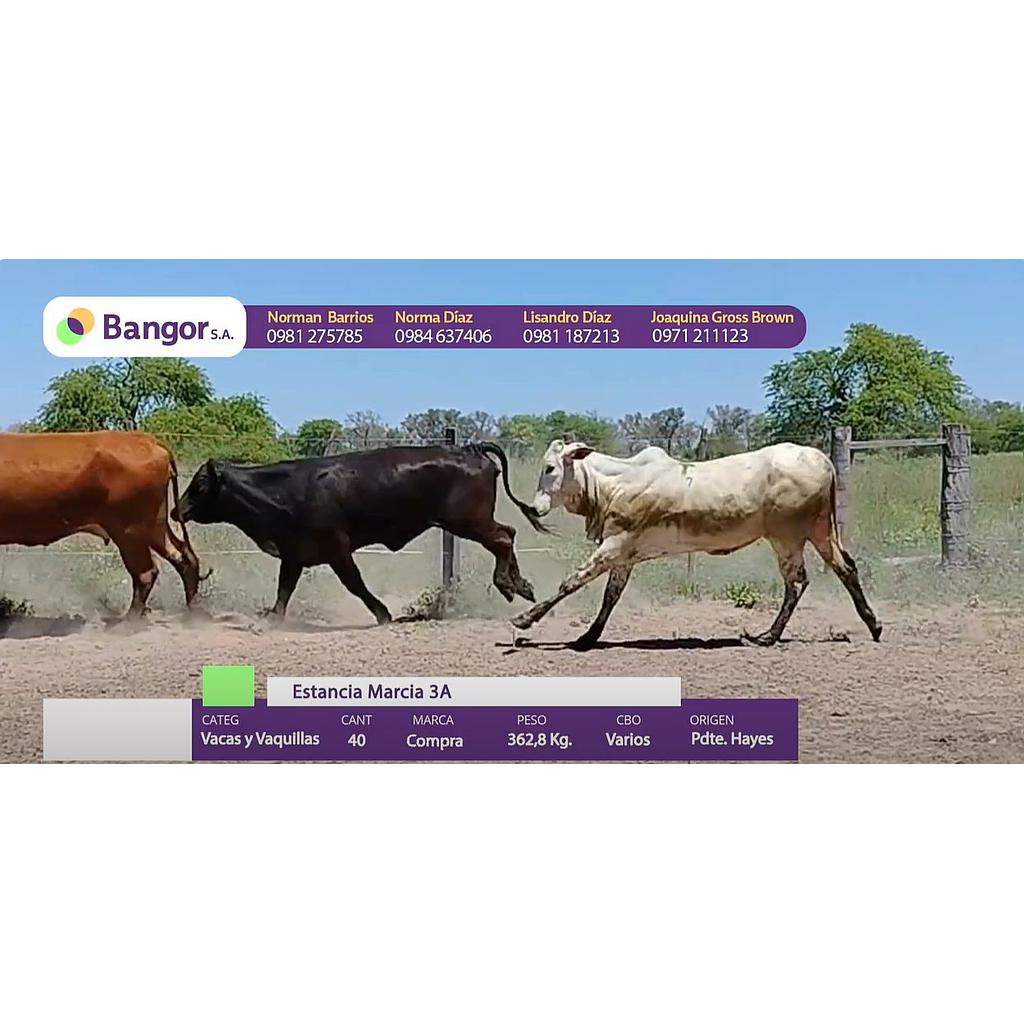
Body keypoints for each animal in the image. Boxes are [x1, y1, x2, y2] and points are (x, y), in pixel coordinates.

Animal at [173, 442, 548, 620]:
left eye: (200, 484)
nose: (177, 510)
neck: (288, 491)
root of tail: (468, 448)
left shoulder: (337, 550)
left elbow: (356, 585)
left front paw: (383, 614)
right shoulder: (295, 554)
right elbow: (284, 590)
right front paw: (273, 619)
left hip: (469, 522)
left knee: (503, 538)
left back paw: (509, 585)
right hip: (471, 522)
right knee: (508, 535)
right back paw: (521, 586)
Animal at [510, 439, 882, 650]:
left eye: (550, 467)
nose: (535, 508)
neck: (612, 485)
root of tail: (821, 459)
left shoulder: (614, 546)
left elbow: (571, 582)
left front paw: (525, 619)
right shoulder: (625, 555)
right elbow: (610, 597)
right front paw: (588, 637)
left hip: (788, 537)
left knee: (797, 583)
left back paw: (767, 636)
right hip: (819, 532)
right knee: (844, 569)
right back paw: (873, 625)